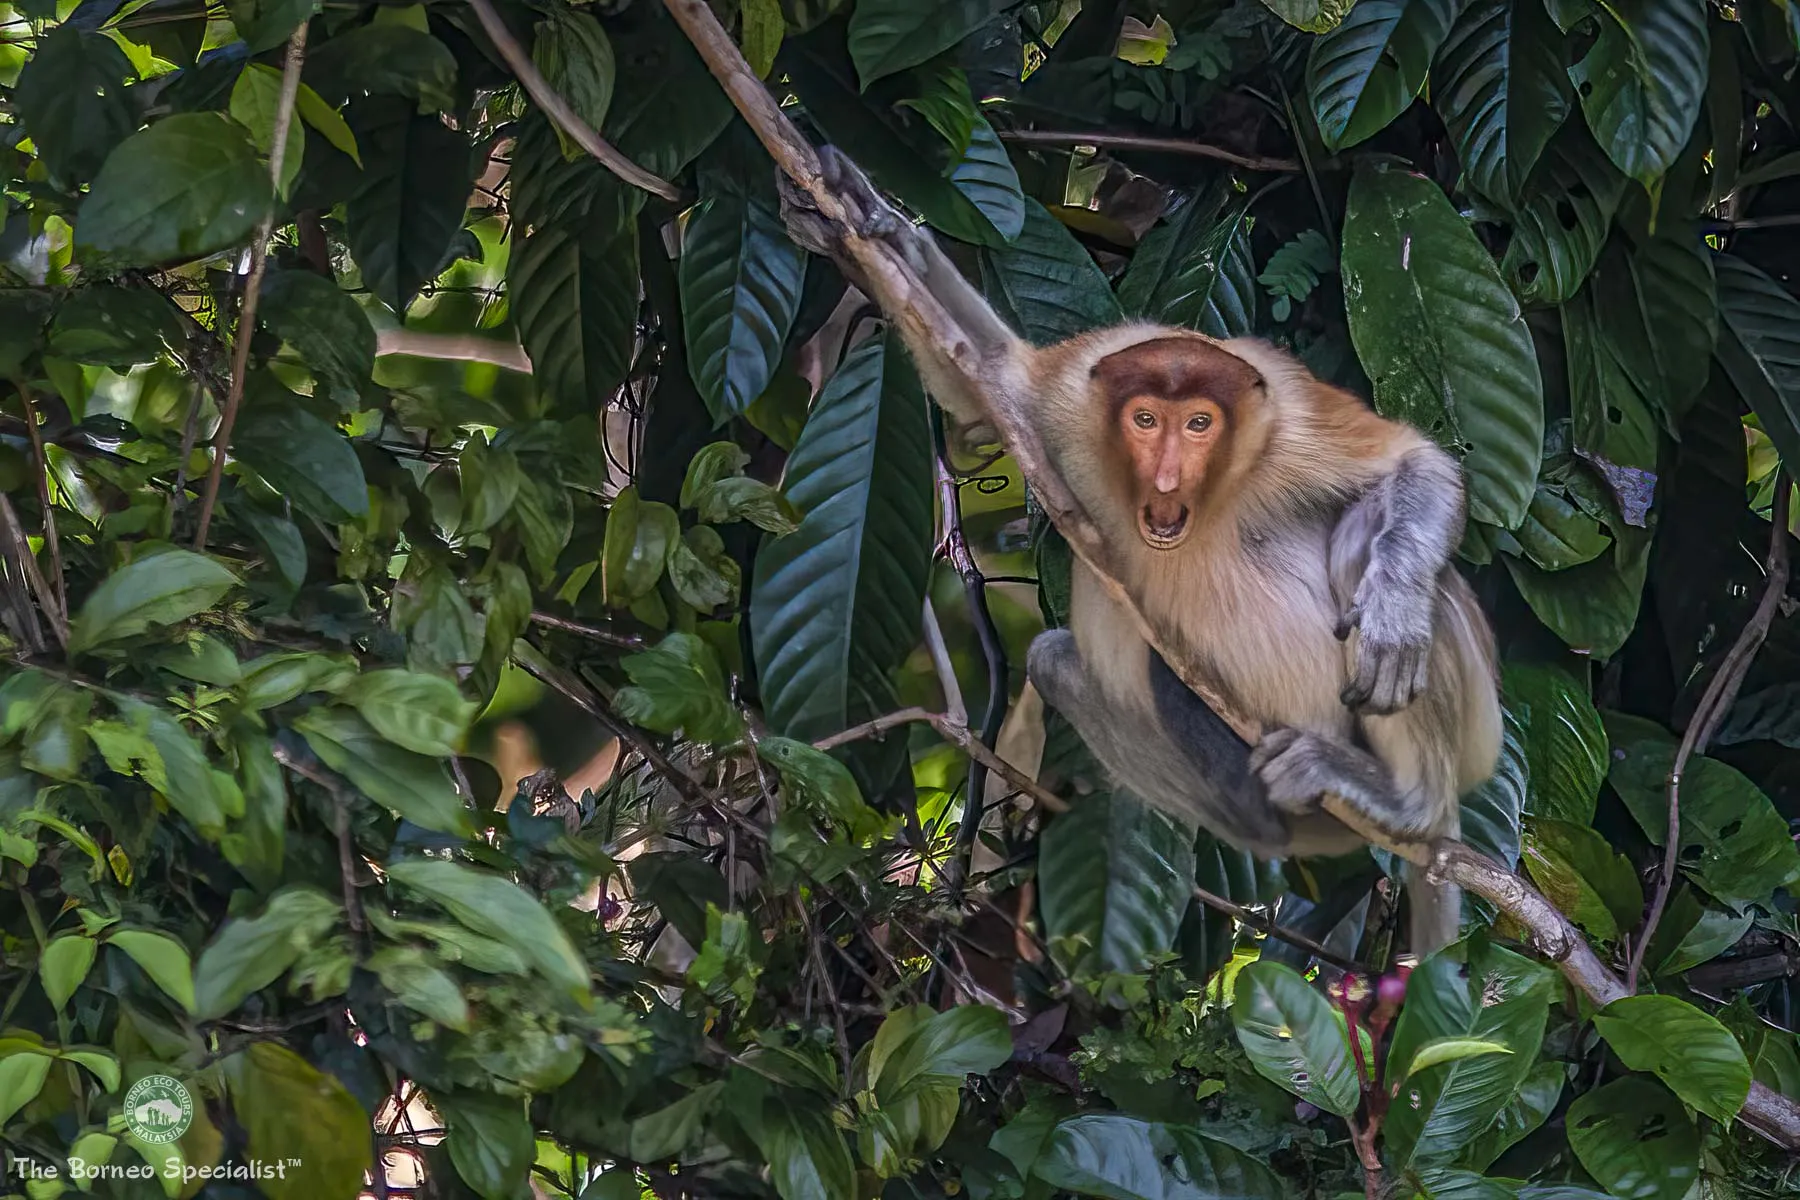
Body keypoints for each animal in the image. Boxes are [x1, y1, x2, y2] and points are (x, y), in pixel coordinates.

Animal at [777, 148, 1503, 950]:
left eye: (1199, 424)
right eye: (1145, 420)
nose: (1165, 478)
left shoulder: (1290, 415)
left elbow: (1415, 462)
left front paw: (1395, 619)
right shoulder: (1072, 399)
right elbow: (989, 382)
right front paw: (858, 218)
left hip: (1478, 733)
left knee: (1362, 535)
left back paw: (1409, 801)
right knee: (1054, 659)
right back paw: (1254, 806)